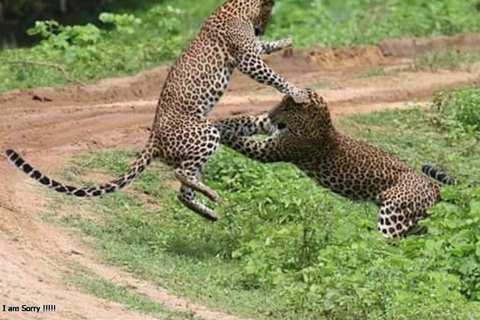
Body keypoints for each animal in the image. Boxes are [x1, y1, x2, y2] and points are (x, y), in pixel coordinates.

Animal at [4, 0, 308, 221]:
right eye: (266, 19)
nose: (262, 29)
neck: (237, 6)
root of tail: (154, 139)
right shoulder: (247, 59)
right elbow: (272, 75)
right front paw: (297, 92)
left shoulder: (251, 49)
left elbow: (265, 49)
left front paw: (285, 42)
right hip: (205, 132)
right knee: (182, 175)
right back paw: (213, 197)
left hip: (198, 147)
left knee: (183, 192)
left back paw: (209, 211)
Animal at [215, 90, 458, 238]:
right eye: (280, 104)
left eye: (286, 108)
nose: (271, 113)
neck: (320, 123)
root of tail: (431, 184)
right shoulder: (269, 128)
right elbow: (243, 121)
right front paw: (216, 121)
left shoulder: (272, 150)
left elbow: (239, 139)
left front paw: (218, 131)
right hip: (413, 219)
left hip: (394, 212)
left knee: (387, 242)